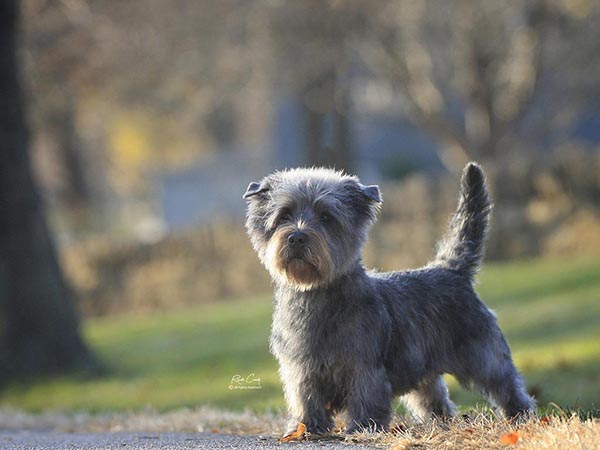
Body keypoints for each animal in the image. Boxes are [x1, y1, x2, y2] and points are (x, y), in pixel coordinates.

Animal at [243, 163, 536, 434]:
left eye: (326, 217)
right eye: (284, 215)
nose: (297, 237)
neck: (315, 295)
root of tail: (452, 269)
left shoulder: (363, 365)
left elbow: (366, 394)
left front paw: (364, 427)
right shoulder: (300, 367)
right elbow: (305, 397)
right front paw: (305, 427)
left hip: (482, 354)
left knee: (506, 383)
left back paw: (520, 415)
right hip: (424, 370)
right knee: (434, 397)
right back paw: (440, 422)